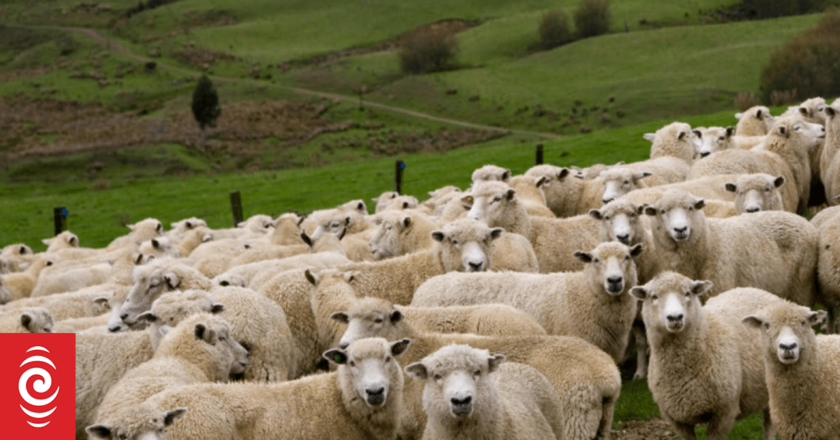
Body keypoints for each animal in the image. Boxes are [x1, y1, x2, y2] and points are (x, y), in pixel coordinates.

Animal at [630, 272, 783, 440]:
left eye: (687, 293)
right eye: (654, 296)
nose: (675, 317)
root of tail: (755, 289)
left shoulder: (724, 413)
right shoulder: (677, 420)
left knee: (769, 424)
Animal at [643, 189, 818, 304]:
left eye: (690, 208)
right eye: (662, 211)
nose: (680, 229)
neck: (709, 240)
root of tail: (803, 220)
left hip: (801, 285)